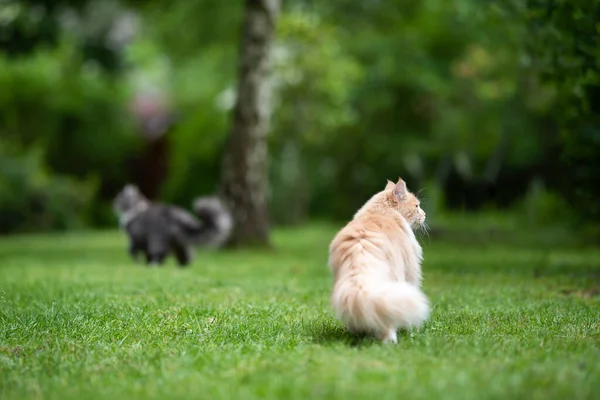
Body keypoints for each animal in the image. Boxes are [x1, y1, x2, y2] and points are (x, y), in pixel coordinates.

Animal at [328, 177, 432, 344]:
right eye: (417, 206)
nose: (425, 214)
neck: (380, 212)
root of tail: (360, 249)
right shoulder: (411, 272)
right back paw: (390, 341)